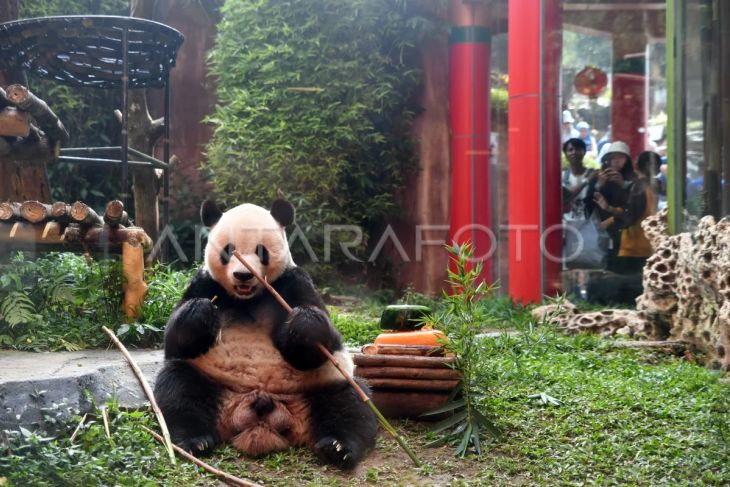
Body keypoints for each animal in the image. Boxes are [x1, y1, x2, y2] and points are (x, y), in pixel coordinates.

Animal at [156, 200, 378, 470]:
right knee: (179, 388)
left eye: (260, 251)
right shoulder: (205, 283)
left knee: (349, 403)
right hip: (211, 380)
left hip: (322, 383)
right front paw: (201, 311)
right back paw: (194, 441)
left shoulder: (293, 282)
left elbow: (320, 342)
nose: (243, 275)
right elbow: (175, 339)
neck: (247, 297)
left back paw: (338, 447)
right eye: (229, 250)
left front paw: (304, 325)